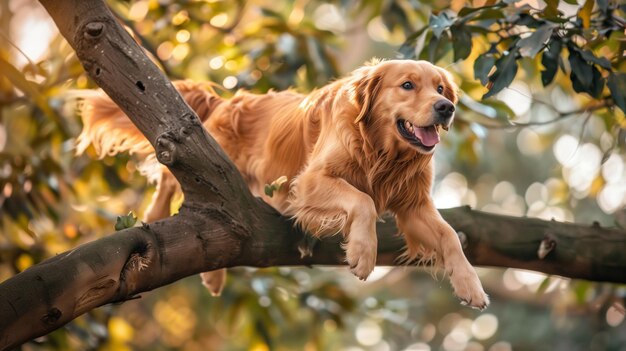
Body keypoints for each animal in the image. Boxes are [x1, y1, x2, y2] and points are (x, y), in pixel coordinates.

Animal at [77, 59, 488, 308]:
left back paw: (213, 275)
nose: (446, 108)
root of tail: (225, 101)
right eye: (407, 85)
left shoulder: (414, 206)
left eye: (441, 88)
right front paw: (363, 252)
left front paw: (470, 284)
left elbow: (450, 236)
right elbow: (363, 201)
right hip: (205, 169)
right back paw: (159, 216)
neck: (382, 153)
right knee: (171, 183)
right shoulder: (309, 183)